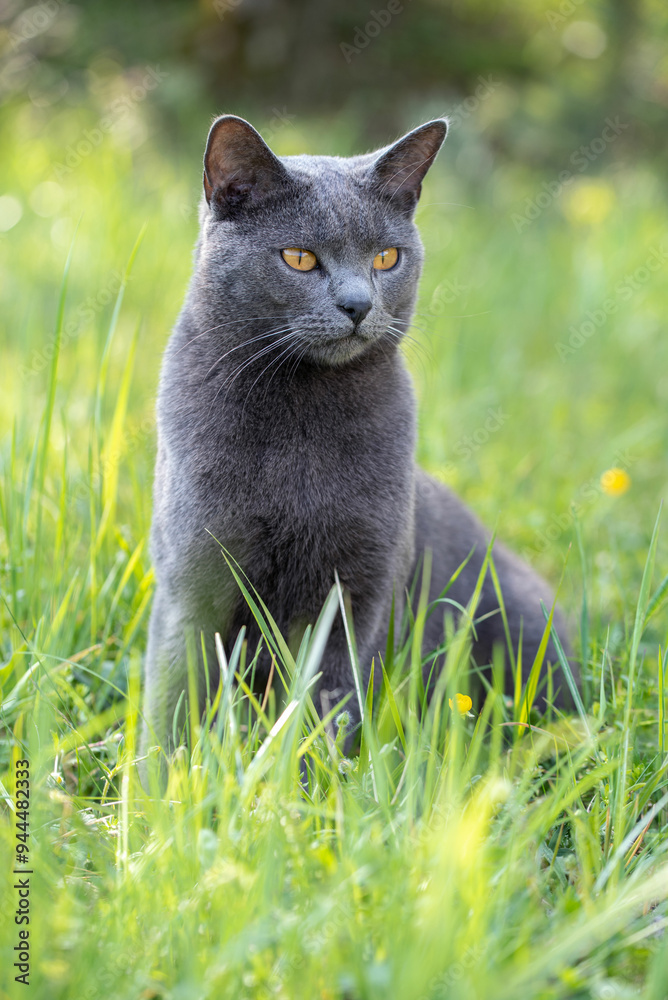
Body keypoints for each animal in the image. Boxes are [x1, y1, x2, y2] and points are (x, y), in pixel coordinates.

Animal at [140, 115, 568, 772]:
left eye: (386, 257)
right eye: (299, 257)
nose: (358, 304)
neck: (300, 418)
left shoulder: (358, 587)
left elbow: (328, 699)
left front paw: (314, 780)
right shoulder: (193, 580)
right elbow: (176, 696)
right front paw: (165, 781)